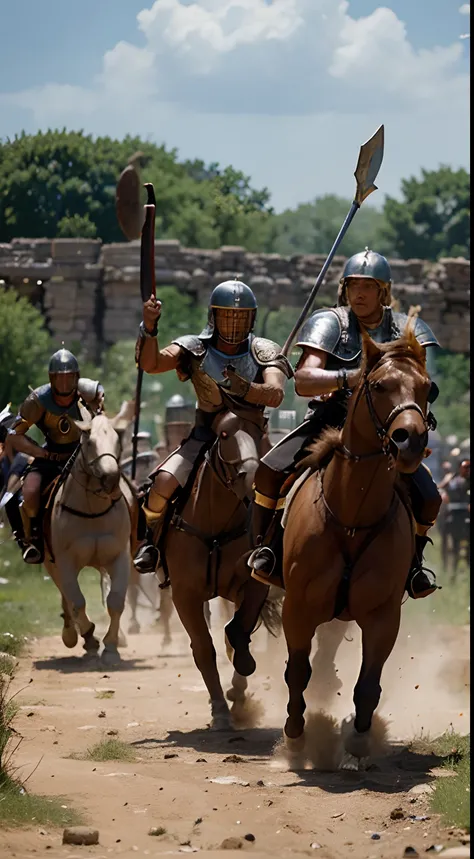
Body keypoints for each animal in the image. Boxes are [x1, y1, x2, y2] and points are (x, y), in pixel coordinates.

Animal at [282, 322, 434, 764]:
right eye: (380, 385)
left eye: (428, 388)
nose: (410, 440)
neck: (351, 517)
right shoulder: (297, 608)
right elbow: (296, 671)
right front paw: (295, 736)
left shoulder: (383, 616)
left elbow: (368, 683)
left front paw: (359, 739)